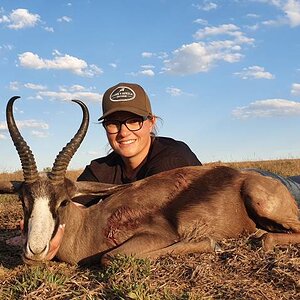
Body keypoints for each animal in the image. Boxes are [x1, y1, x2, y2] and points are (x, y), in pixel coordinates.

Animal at [0, 96, 300, 264]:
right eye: (24, 202)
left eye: (63, 202)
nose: (35, 251)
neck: (91, 223)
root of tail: (244, 176)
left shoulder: (157, 235)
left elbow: (111, 257)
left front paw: (212, 244)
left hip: (262, 201)